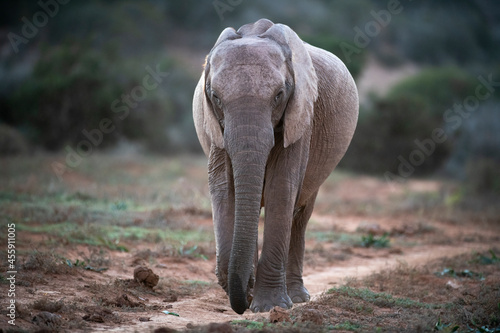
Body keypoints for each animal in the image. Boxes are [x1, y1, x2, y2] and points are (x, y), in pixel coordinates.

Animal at [192, 18, 360, 314]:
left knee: (300, 214)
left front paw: (269, 306)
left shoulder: (301, 116)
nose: (243, 303)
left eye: (279, 95)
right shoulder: (216, 128)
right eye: (215, 96)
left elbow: (281, 188)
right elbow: (223, 187)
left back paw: (297, 298)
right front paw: (246, 288)